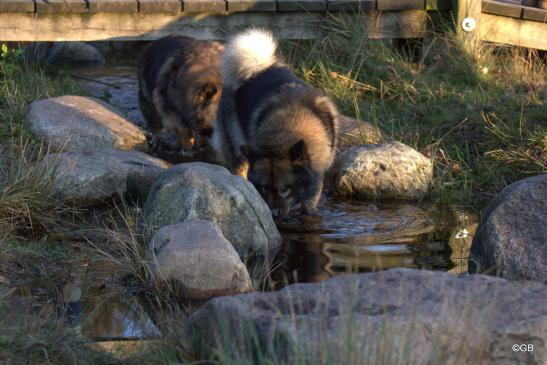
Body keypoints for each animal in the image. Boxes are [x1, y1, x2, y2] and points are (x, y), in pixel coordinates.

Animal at [213, 29, 338, 219]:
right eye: (264, 188)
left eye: (284, 189)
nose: (274, 214)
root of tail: (259, 68)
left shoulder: (315, 183)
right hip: (237, 152)